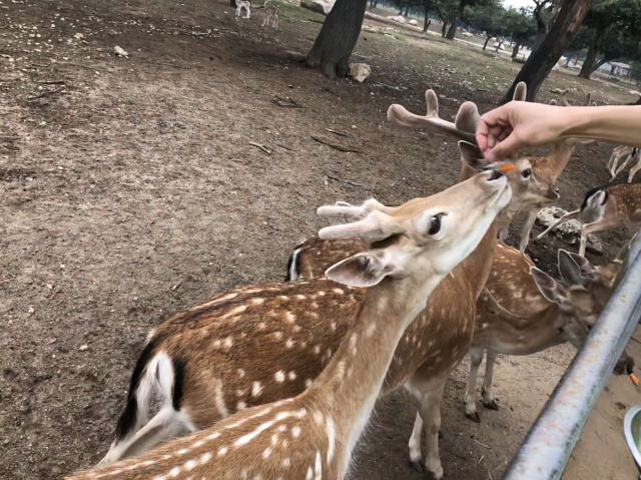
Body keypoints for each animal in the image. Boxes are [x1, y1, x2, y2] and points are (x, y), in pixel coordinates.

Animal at [462, 246, 632, 422]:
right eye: (591, 324)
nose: (628, 365)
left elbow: (492, 355)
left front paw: (488, 398)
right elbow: (478, 360)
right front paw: (470, 406)